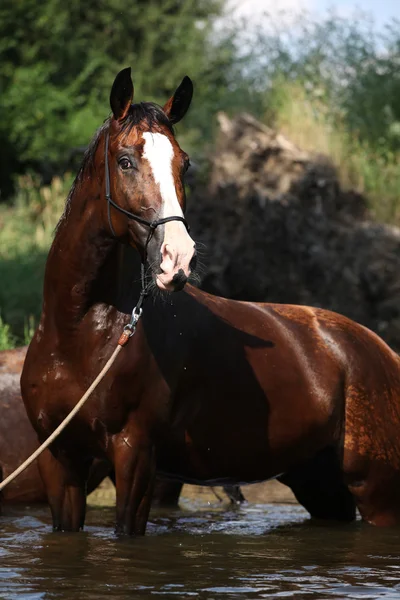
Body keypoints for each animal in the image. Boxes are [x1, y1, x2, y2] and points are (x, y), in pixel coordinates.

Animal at [21, 67, 400, 536]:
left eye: (184, 163)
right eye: (125, 160)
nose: (178, 258)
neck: (78, 333)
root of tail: (380, 351)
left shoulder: (136, 458)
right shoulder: (58, 461)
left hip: (380, 491)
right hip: (320, 483)